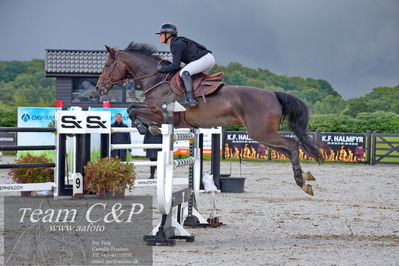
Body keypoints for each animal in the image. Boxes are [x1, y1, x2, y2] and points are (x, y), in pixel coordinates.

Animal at [96, 42, 324, 195]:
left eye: (107, 65)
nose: (98, 87)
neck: (157, 79)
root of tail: (273, 94)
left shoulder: (162, 113)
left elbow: (133, 110)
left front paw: (146, 128)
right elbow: (133, 108)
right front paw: (148, 127)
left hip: (262, 132)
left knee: (292, 145)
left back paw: (302, 181)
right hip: (262, 135)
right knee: (287, 149)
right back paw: (305, 177)